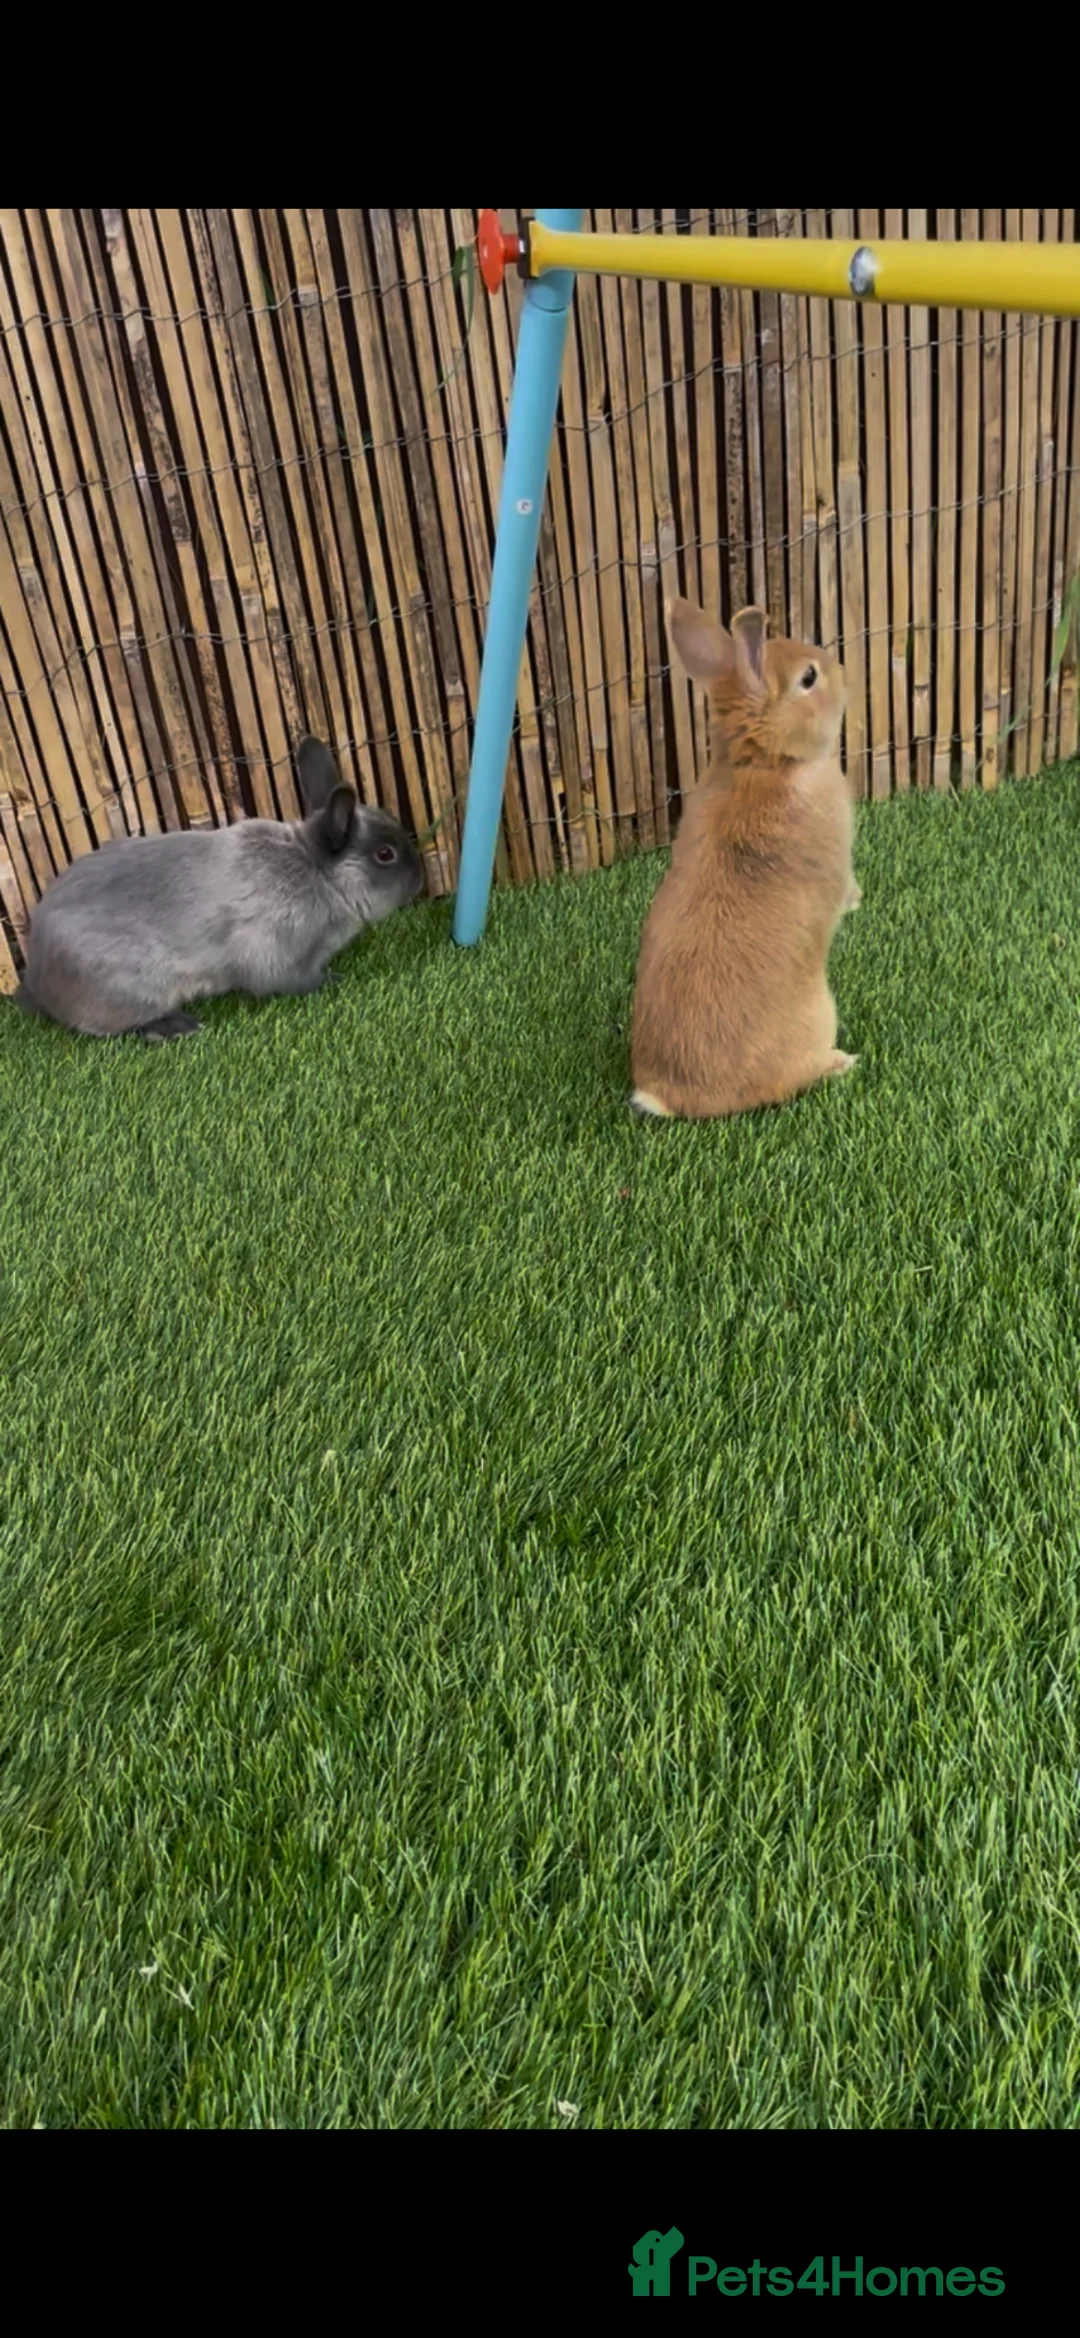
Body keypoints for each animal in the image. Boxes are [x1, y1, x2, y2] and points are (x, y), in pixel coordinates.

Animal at [15, 738, 424, 1041]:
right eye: (385, 855)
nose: (421, 877)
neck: (318, 873)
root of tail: (36, 976)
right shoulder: (276, 955)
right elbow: (295, 980)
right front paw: (335, 981)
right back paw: (176, 1026)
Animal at [629, 598, 859, 1120]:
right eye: (809, 678)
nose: (842, 671)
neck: (767, 762)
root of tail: (670, 1098)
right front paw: (858, 900)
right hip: (821, 1015)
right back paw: (842, 1062)